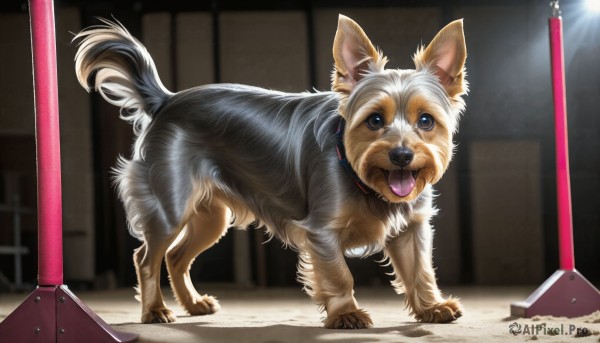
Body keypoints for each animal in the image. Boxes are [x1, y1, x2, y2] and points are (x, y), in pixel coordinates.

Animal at [74, 14, 468, 330]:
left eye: (426, 121)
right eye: (373, 120)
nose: (402, 155)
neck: (363, 178)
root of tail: (166, 100)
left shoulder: (412, 227)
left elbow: (419, 270)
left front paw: (431, 307)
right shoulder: (321, 231)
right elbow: (339, 275)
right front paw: (346, 314)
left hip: (211, 216)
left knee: (175, 256)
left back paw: (193, 304)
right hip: (170, 205)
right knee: (146, 257)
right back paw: (154, 310)